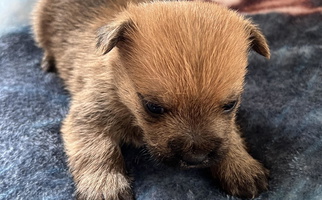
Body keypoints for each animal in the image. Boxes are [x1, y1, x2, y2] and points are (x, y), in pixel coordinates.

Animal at [32, 0, 270, 199]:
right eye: (153, 107)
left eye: (230, 105)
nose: (196, 158)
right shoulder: (88, 117)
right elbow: (96, 151)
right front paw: (105, 185)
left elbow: (231, 136)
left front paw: (241, 167)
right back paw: (48, 61)